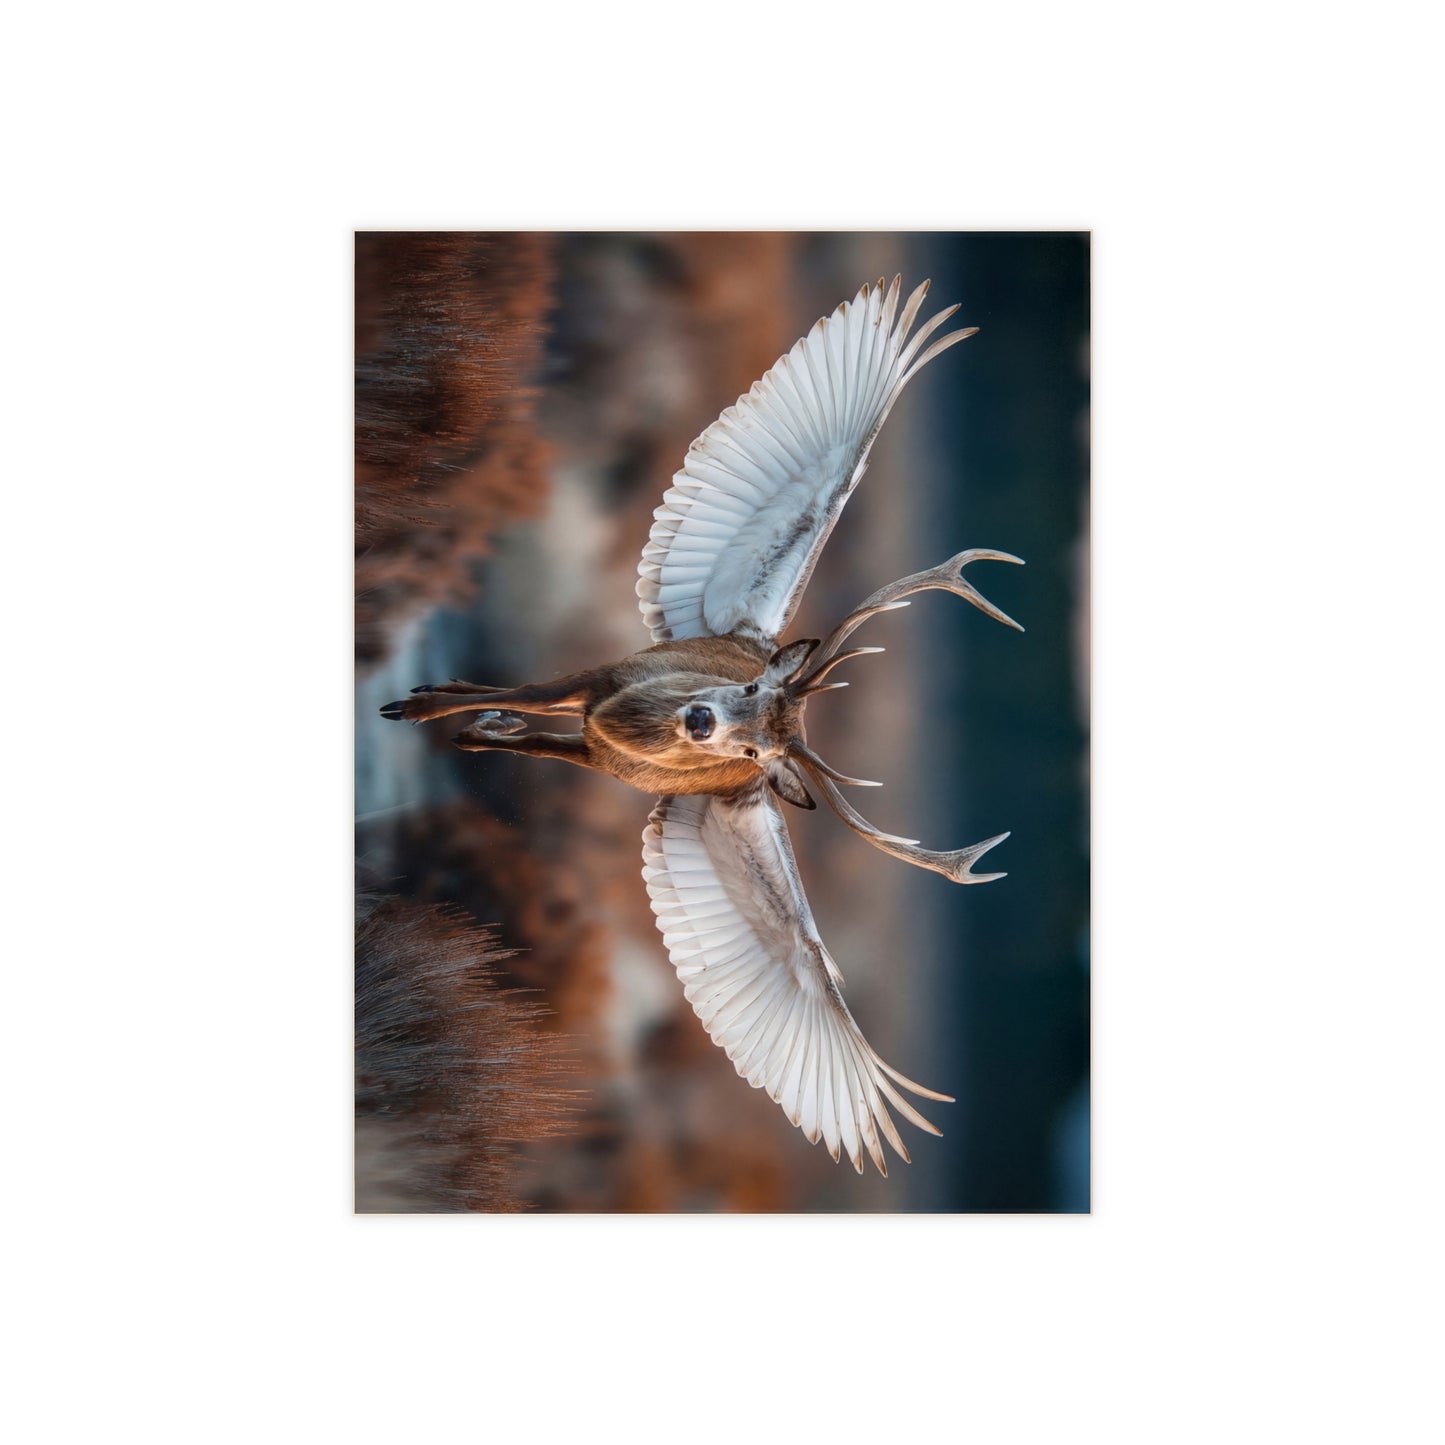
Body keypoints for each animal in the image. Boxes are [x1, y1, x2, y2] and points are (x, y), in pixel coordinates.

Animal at [381, 276, 1023, 1176]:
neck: (644, 721)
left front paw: (452, 719)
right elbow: (526, 687)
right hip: (600, 713)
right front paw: (416, 702)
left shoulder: (609, 734)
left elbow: (809, 960)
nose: (697, 717)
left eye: (756, 745)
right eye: (747, 681)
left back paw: (484, 731)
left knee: (541, 737)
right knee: (534, 713)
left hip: (596, 755)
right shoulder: (605, 680)